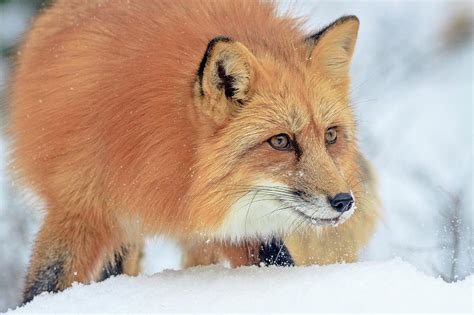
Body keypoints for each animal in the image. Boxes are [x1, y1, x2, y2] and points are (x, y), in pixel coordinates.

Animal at [10, 0, 378, 306]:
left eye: (331, 135)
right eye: (280, 141)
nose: (344, 202)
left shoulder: (238, 224)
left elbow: (276, 261)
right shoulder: (76, 209)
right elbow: (45, 286)